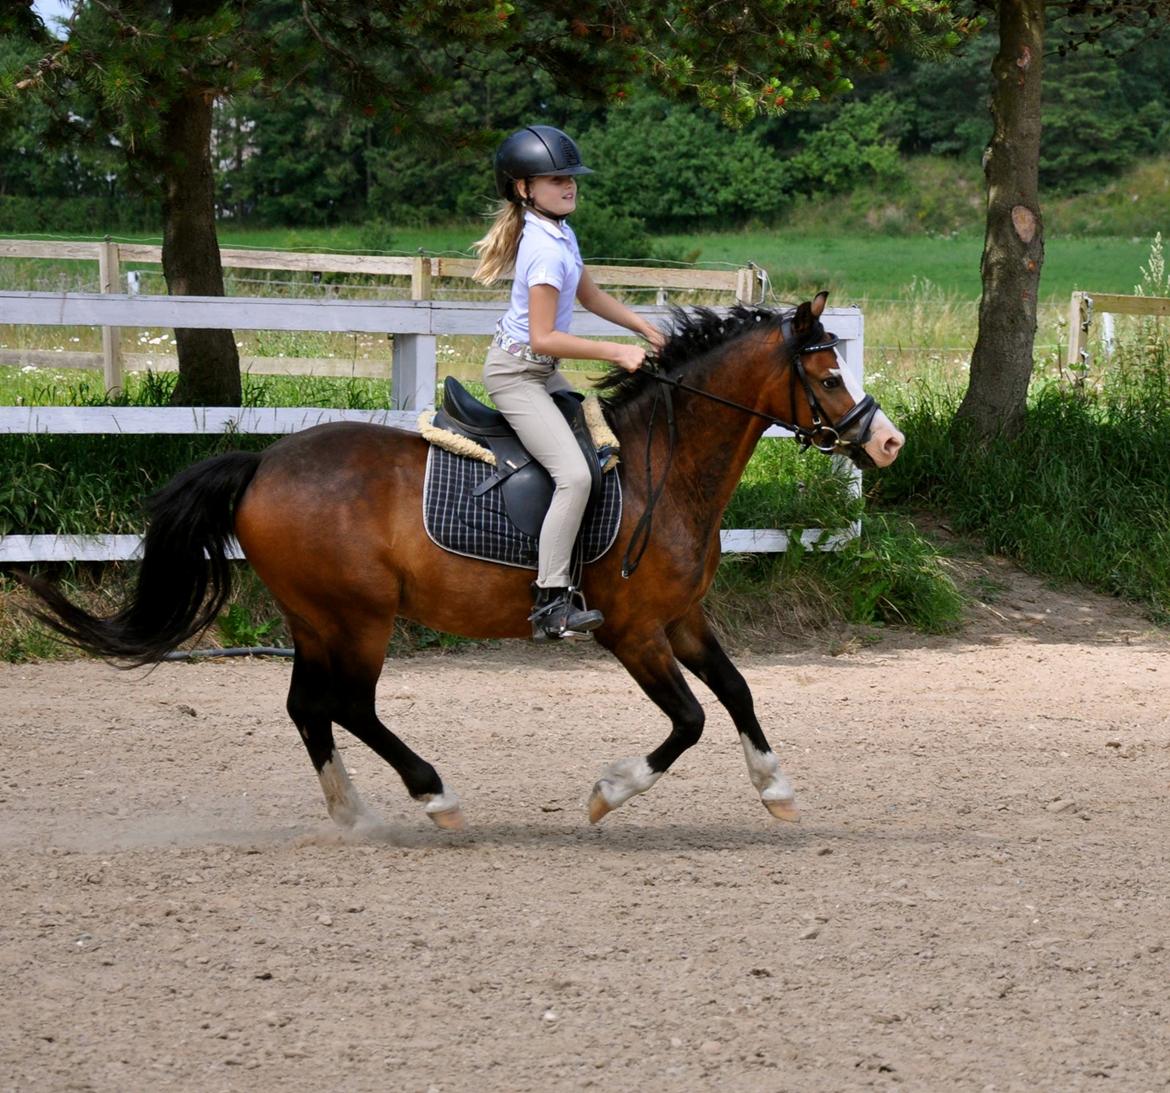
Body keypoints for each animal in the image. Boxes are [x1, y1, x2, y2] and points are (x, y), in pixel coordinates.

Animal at [18, 292, 903, 832]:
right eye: (828, 374)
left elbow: (738, 690)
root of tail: (265, 461)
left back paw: (356, 815)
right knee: (350, 706)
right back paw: (433, 794)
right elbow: (688, 719)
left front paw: (776, 788)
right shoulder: (631, 630)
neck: (666, 464)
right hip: (359, 616)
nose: (887, 441)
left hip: (315, 617)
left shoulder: (681, 617)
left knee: (309, 709)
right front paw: (606, 793)